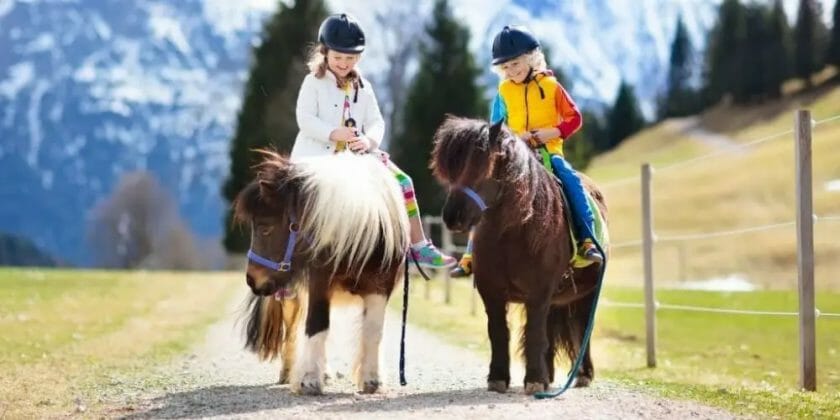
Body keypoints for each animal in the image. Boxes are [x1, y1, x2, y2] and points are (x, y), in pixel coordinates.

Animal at [233, 151, 410, 395]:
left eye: (265, 227)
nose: (252, 278)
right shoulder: (319, 284)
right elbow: (316, 325)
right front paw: (309, 380)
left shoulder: (380, 286)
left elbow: (373, 330)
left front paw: (372, 380)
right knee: (293, 329)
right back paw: (291, 372)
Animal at [430, 117, 608, 395]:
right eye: (450, 170)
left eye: (481, 165)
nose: (452, 216)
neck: (511, 234)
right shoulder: (491, 292)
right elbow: (499, 332)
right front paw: (499, 378)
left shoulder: (539, 291)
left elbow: (534, 332)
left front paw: (534, 379)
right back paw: (549, 375)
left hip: (587, 294)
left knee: (582, 327)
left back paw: (582, 374)